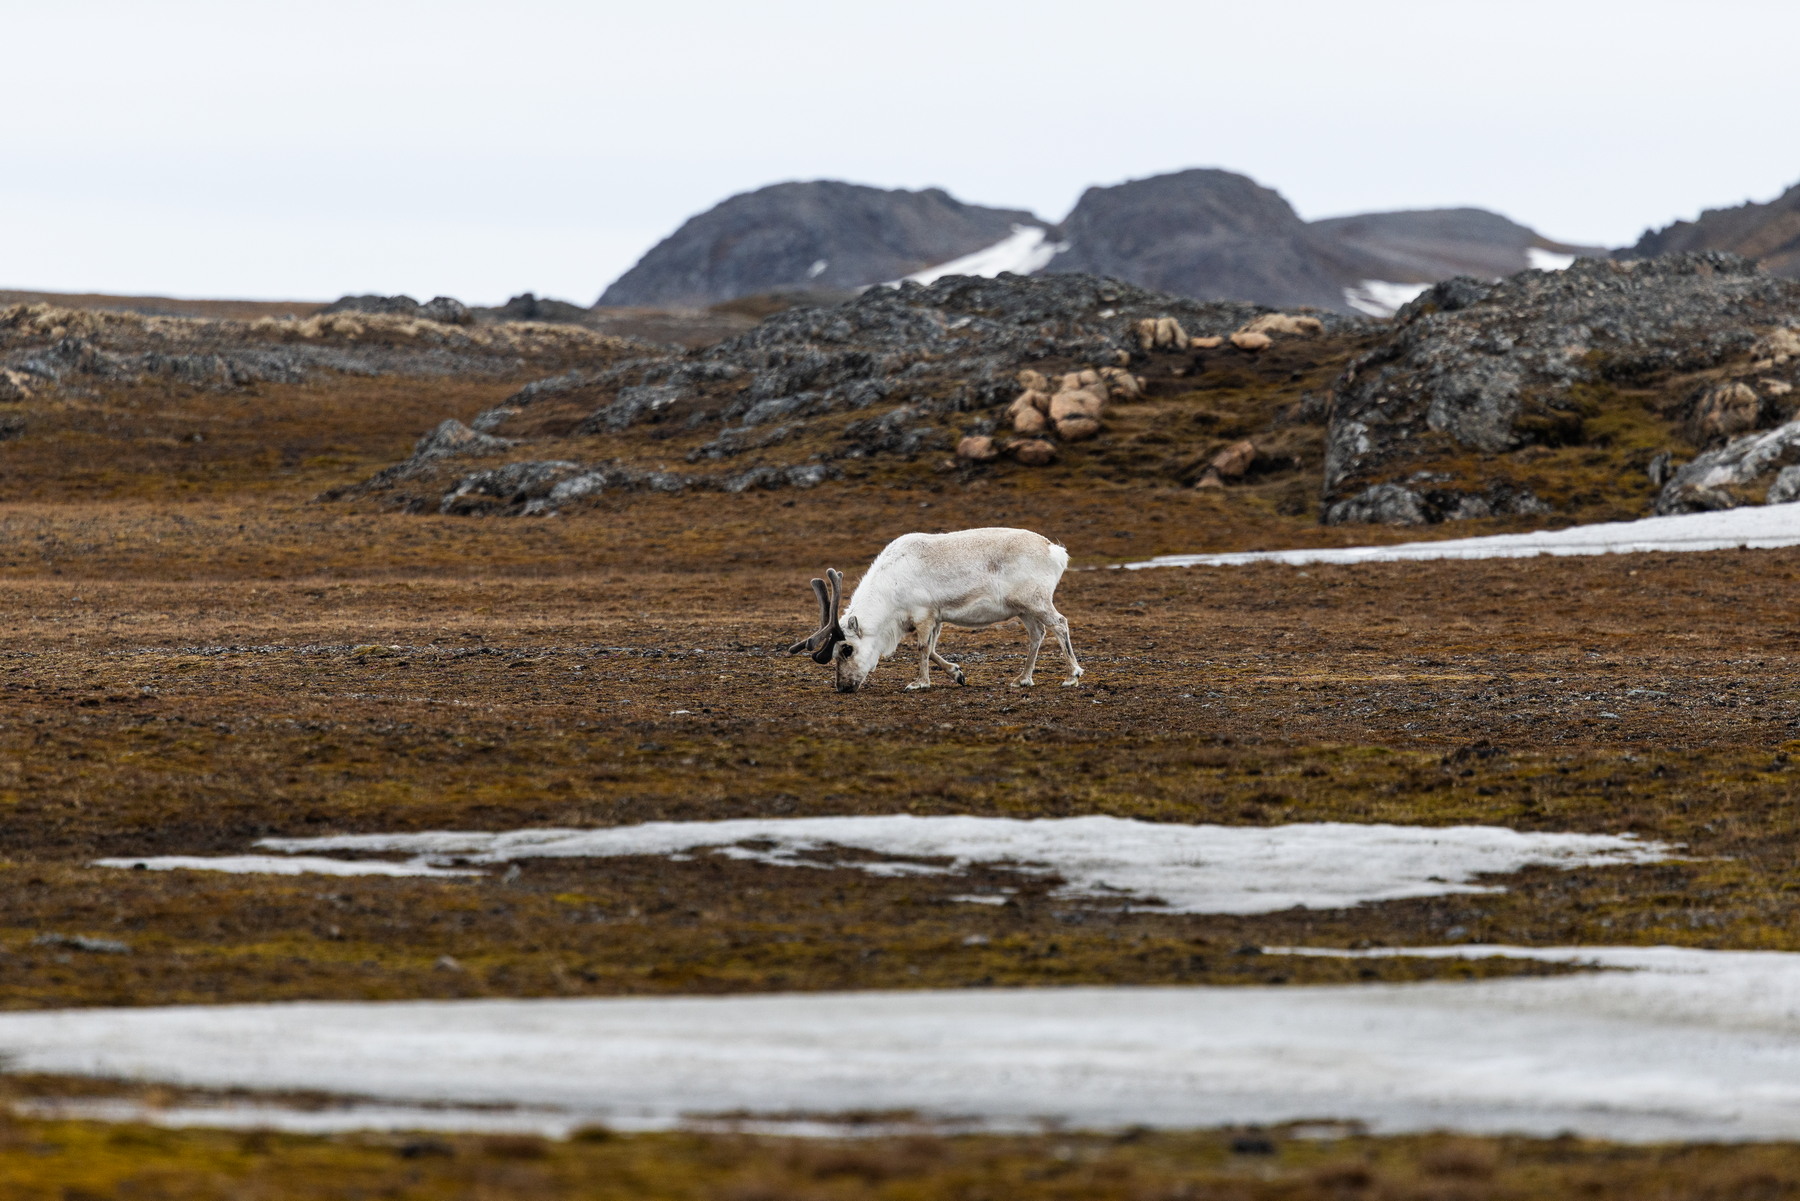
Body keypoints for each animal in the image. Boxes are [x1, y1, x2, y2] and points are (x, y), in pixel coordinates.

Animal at [788, 527, 1083, 693]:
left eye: (846, 649)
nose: (843, 687)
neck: (889, 591)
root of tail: (1056, 551)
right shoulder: (937, 617)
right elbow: (931, 649)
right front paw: (957, 674)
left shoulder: (923, 613)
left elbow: (921, 648)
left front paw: (919, 683)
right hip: (1023, 608)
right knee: (1038, 633)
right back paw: (1022, 679)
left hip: (1036, 600)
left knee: (1059, 623)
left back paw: (1072, 676)